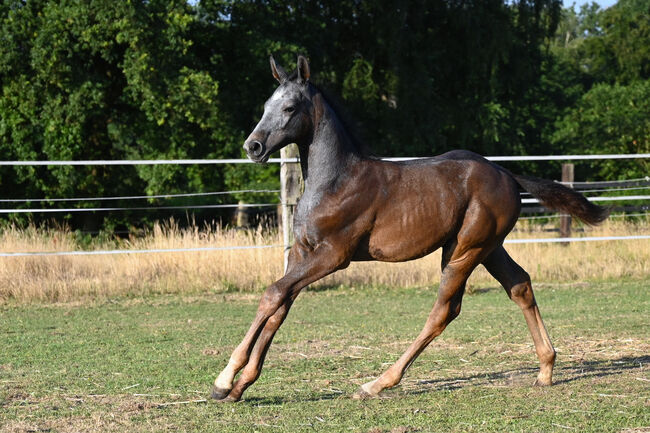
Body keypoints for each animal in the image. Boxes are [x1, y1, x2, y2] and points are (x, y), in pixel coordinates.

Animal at [211, 54, 608, 402]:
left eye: (291, 107)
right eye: (267, 104)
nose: (253, 146)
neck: (335, 181)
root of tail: (507, 173)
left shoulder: (334, 256)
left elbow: (273, 293)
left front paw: (224, 379)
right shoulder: (301, 253)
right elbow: (279, 305)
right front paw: (240, 386)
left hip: (464, 251)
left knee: (444, 311)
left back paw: (376, 384)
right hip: (489, 247)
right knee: (520, 285)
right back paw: (546, 369)